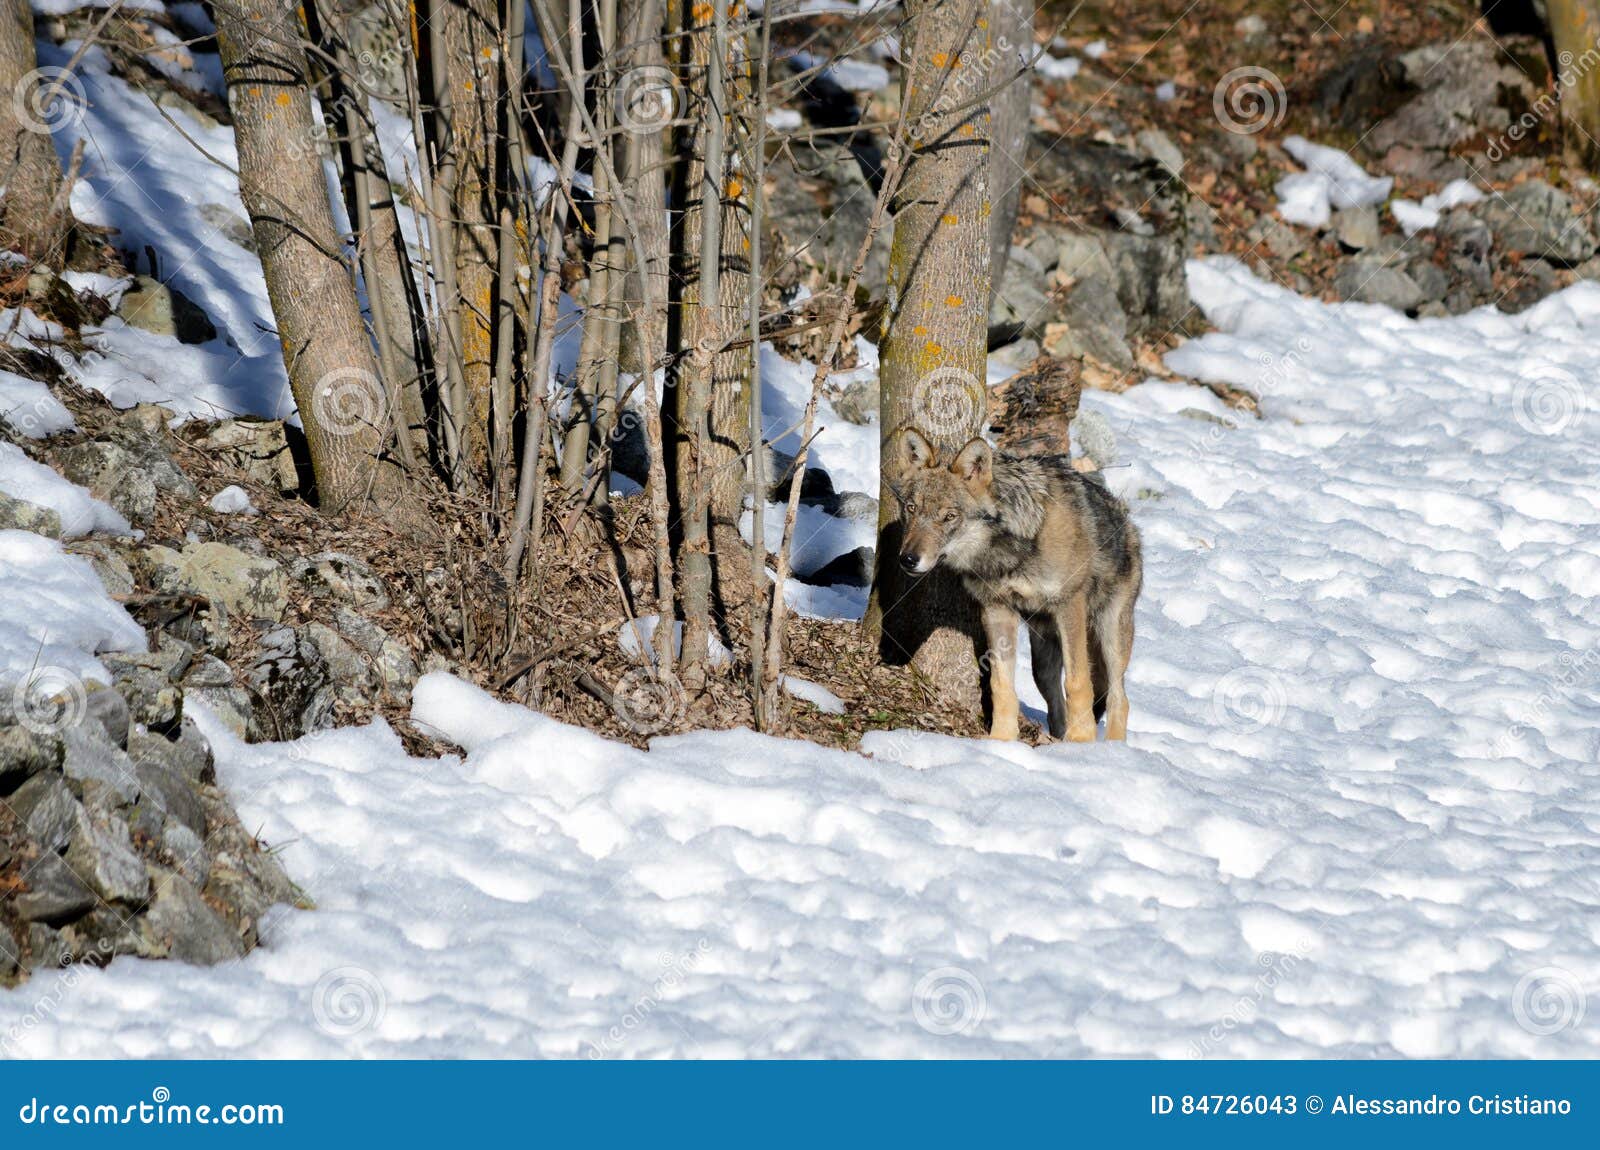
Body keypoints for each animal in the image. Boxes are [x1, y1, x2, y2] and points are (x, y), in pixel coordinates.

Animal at [889, 428, 1139, 742]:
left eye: (949, 516)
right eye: (911, 509)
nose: (908, 559)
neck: (1010, 551)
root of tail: (1129, 523)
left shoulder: (1069, 604)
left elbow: (1078, 682)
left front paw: (1082, 742)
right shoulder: (997, 610)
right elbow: (1001, 685)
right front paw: (1001, 740)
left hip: (1110, 634)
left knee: (1119, 698)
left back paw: (1110, 747)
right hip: (1042, 659)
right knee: (1056, 701)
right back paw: (1058, 741)